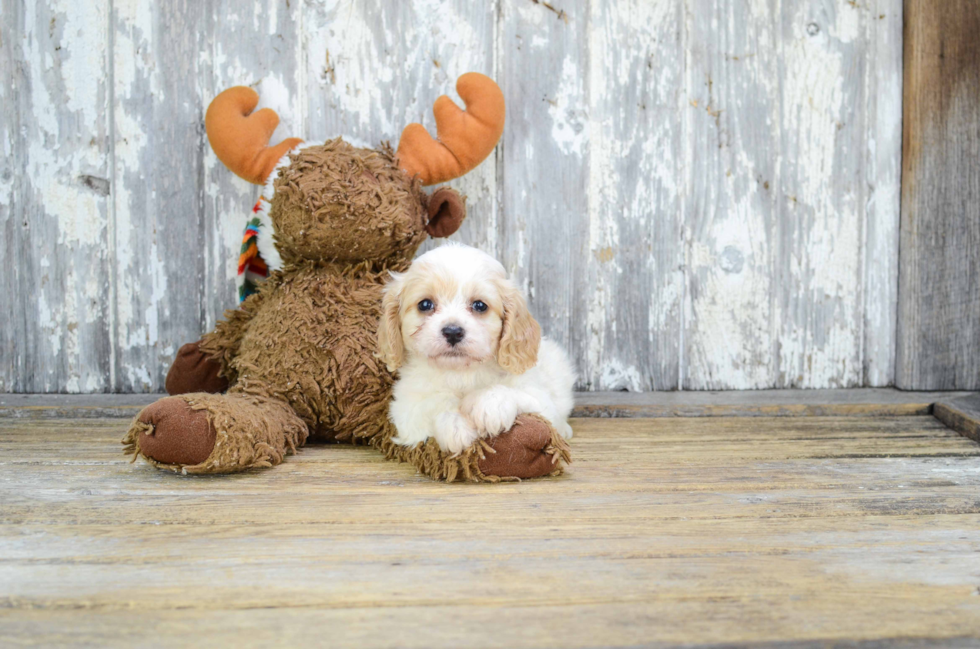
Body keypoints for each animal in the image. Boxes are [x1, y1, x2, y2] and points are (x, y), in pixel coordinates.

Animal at [376, 242, 576, 450]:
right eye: (425, 304)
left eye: (480, 305)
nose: (453, 332)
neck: (461, 373)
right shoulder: (406, 409)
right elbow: (435, 403)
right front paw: (455, 425)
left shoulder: (540, 398)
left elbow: (518, 394)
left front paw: (490, 405)